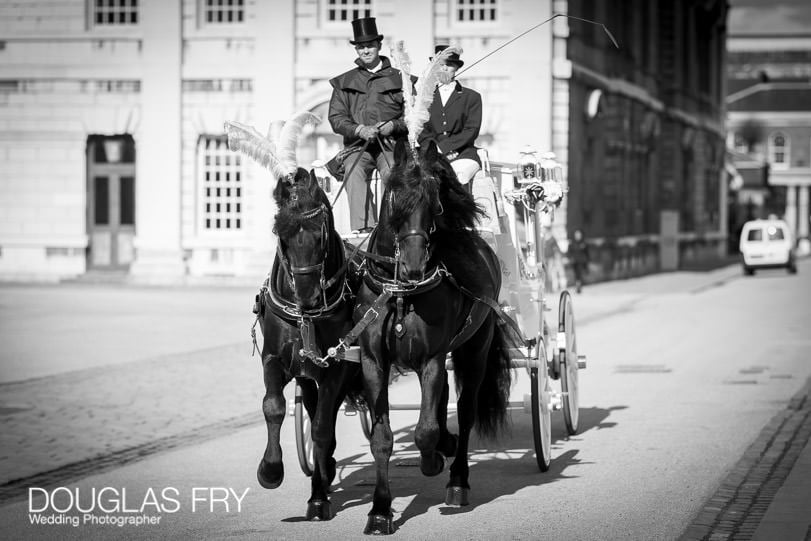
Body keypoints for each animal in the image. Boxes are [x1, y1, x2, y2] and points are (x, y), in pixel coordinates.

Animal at [255, 168, 364, 520]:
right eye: (280, 234)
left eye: (321, 234)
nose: (307, 296)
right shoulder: (274, 359)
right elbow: (274, 407)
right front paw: (271, 470)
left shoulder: (339, 366)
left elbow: (320, 428)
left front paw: (318, 498)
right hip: (306, 372)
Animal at [354, 139, 512, 532]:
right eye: (394, 196)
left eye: (434, 201)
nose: (414, 264)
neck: (400, 292)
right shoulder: (372, 362)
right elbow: (382, 438)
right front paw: (380, 509)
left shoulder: (431, 359)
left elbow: (424, 430)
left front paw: (432, 461)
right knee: (440, 402)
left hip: (474, 349)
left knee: (466, 410)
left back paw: (457, 479)